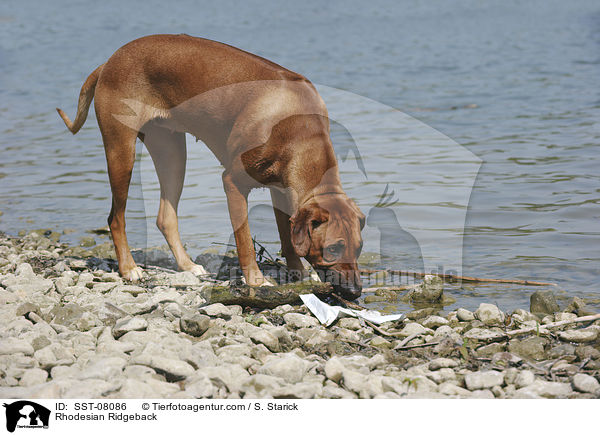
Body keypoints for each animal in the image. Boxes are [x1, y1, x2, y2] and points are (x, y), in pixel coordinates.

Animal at [57, 34, 366, 300]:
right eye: (333, 248)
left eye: (359, 247)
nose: (355, 291)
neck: (299, 129)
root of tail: (109, 62)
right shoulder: (233, 182)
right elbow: (244, 239)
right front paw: (256, 281)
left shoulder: (281, 189)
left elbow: (288, 238)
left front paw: (299, 274)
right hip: (121, 151)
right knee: (115, 217)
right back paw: (129, 268)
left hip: (171, 152)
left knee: (165, 216)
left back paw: (186, 265)